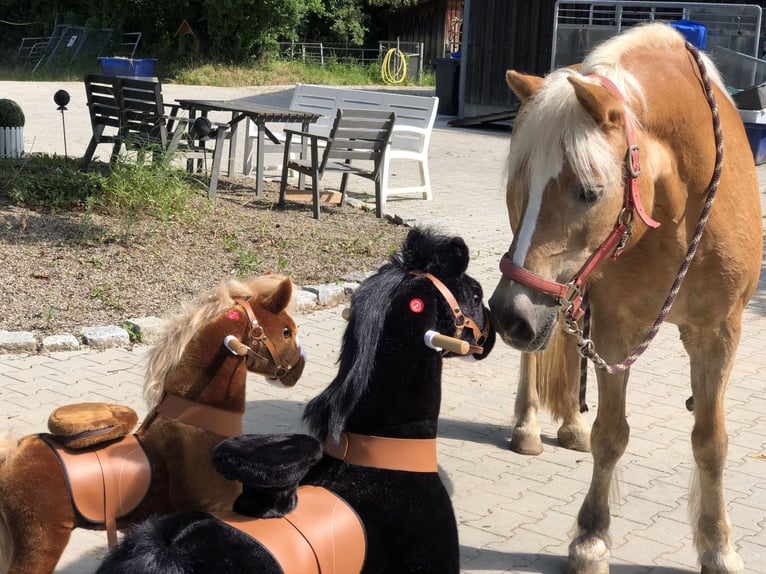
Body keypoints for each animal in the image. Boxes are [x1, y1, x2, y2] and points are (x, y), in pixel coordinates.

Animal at [0, 276, 306, 574]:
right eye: (286, 331)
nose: (299, 367)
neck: (195, 425)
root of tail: (11, 455)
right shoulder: (219, 507)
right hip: (41, 539)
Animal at [492, 22, 760, 574]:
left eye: (590, 191)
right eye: (522, 185)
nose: (508, 316)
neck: (679, 208)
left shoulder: (720, 332)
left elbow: (711, 441)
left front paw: (719, 546)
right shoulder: (618, 328)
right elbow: (611, 434)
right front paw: (591, 539)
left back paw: (570, 425)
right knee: (537, 359)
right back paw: (528, 426)